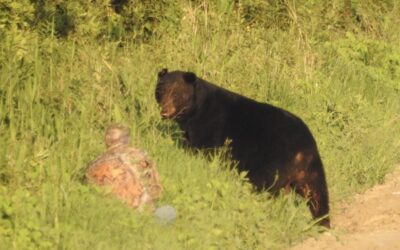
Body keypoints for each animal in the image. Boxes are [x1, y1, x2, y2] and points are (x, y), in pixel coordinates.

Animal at [155, 69, 330, 228]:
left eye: (176, 94)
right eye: (160, 91)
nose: (164, 111)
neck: (195, 110)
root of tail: (306, 146)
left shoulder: (210, 127)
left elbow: (203, 152)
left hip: (272, 160)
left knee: (264, 185)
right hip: (310, 170)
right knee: (317, 192)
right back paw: (322, 222)